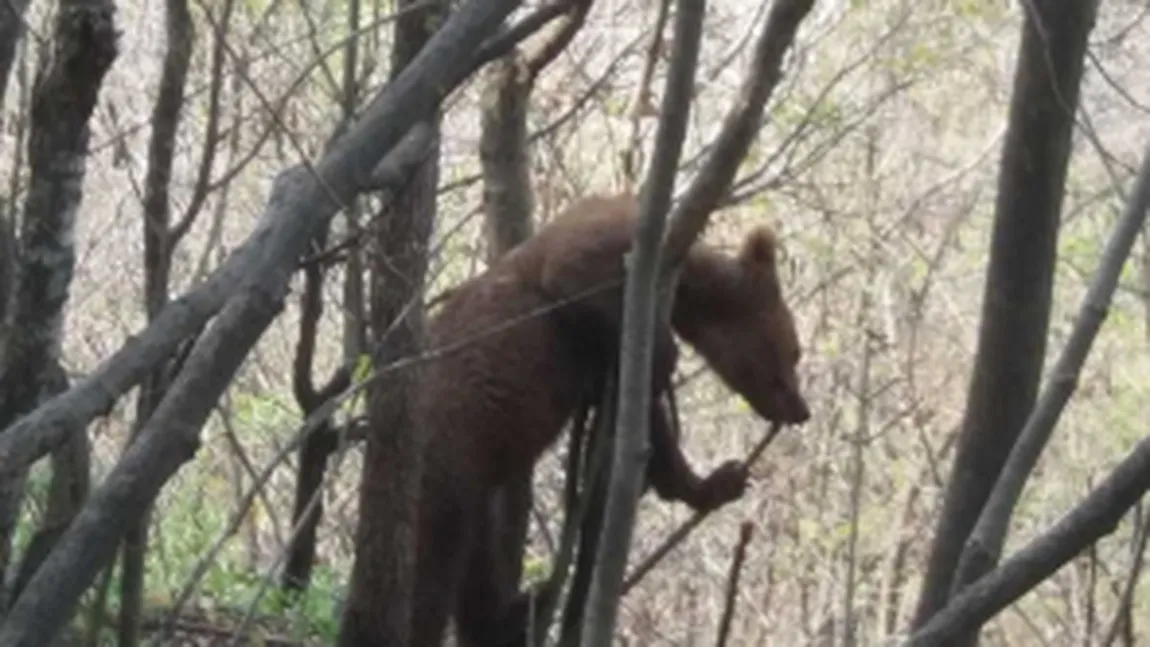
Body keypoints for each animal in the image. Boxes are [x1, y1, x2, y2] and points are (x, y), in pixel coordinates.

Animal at [407, 195, 809, 643]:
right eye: (794, 350)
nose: (800, 409)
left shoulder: (603, 368)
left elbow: (647, 421)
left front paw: (718, 480)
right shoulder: (603, 255)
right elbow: (573, 275)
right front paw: (668, 357)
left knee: (477, 574)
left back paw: (520, 610)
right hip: (448, 452)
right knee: (433, 571)